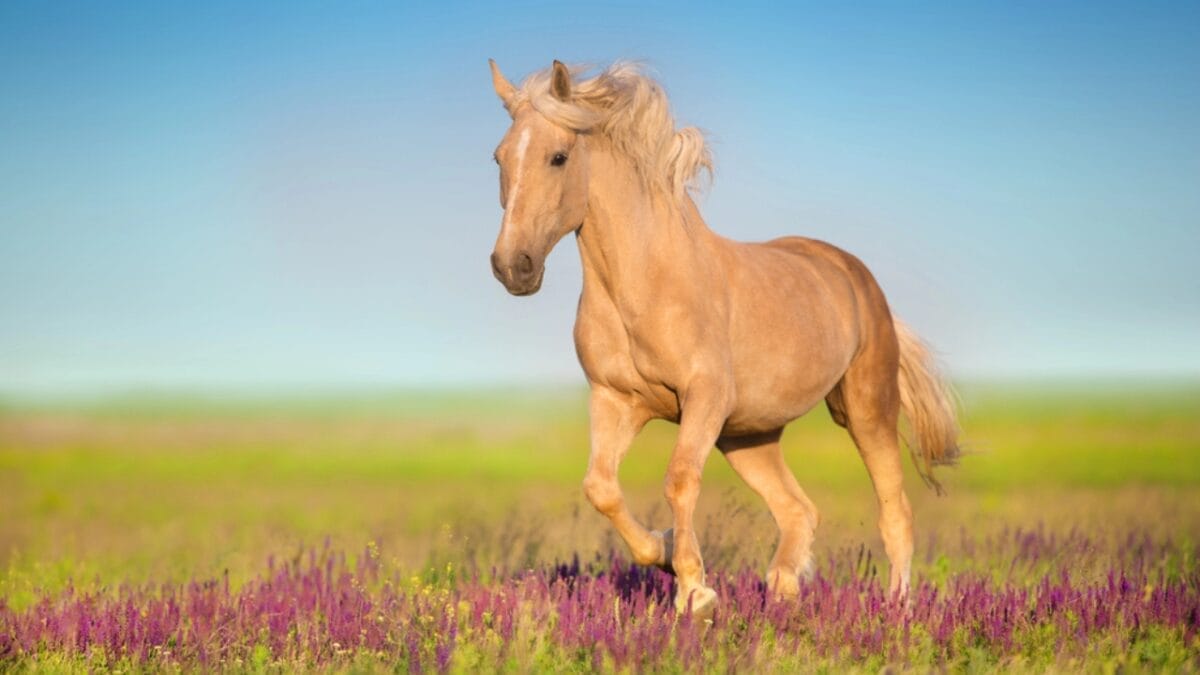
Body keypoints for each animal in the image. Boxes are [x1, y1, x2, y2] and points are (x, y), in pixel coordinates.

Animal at [486, 59, 960, 615]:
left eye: (559, 157)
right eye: (499, 157)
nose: (512, 267)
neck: (643, 285)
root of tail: (853, 272)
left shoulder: (704, 397)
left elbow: (679, 479)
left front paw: (695, 590)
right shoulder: (615, 400)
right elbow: (600, 487)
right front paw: (665, 553)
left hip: (867, 410)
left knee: (894, 512)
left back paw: (897, 608)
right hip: (749, 435)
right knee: (799, 510)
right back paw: (784, 588)